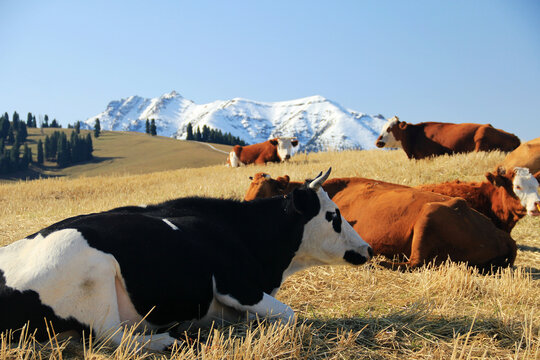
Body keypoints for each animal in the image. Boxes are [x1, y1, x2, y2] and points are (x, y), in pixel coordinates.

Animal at [0, 169, 372, 352]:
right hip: (93, 270)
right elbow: (289, 315)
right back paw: (165, 340)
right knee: (113, 336)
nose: (368, 249)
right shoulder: (234, 286)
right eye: (334, 216)